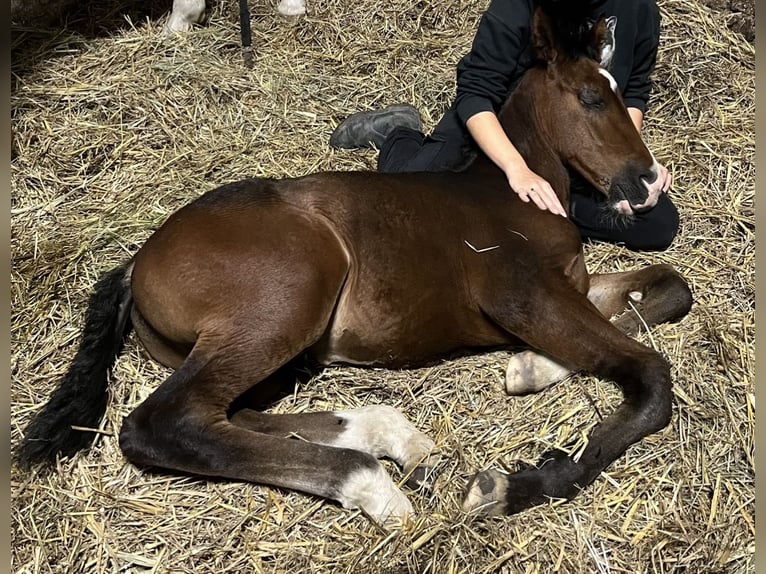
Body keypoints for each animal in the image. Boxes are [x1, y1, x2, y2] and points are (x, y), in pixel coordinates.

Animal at [16, 4, 692, 525]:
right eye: (590, 98)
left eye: (621, 96)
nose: (646, 182)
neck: (515, 191)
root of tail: (136, 262)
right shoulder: (522, 293)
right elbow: (651, 378)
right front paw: (513, 484)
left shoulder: (571, 285)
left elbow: (669, 290)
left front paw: (531, 366)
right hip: (288, 295)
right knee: (164, 422)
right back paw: (371, 483)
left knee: (230, 412)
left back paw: (392, 436)